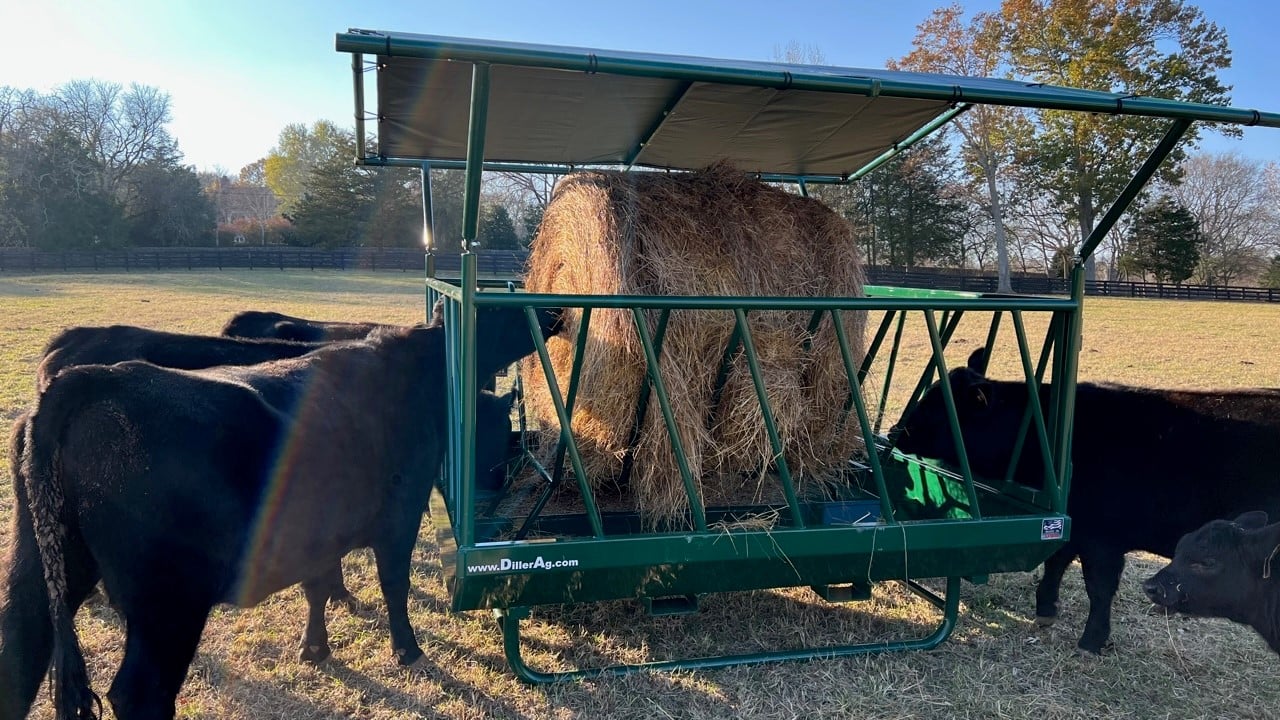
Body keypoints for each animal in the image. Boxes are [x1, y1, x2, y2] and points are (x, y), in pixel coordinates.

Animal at [0, 304, 561, 720]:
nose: (555, 311)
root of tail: (88, 381)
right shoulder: (399, 514)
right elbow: (394, 586)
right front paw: (408, 651)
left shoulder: (317, 527)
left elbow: (316, 586)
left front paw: (315, 647)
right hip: (169, 603)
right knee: (139, 694)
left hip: (38, 571)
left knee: (18, 663)